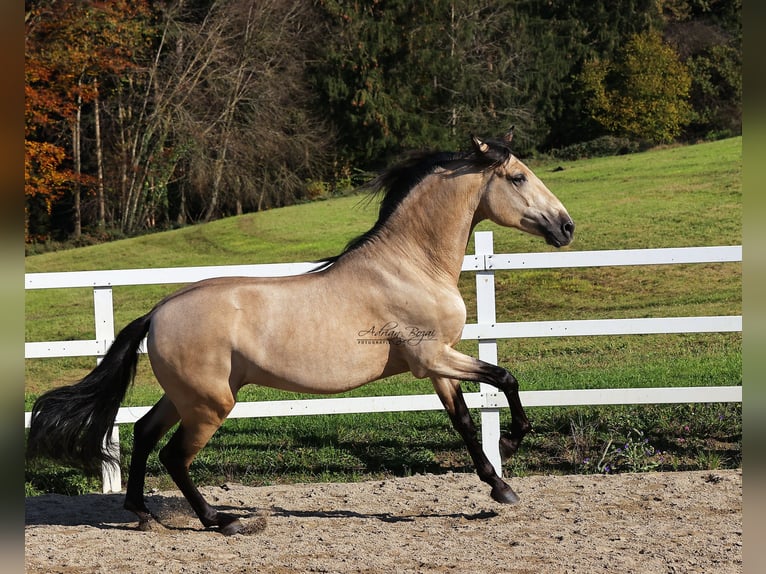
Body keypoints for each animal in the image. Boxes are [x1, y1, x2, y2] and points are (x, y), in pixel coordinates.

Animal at [25, 129, 576, 536]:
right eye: (518, 176)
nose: (566, 227)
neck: (410, 265)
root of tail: (157, 312)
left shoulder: (438, 362)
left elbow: (463, 420)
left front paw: (499, 486)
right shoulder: (434, 357)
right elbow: (505, 377)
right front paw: (511, 446)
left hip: (188, 395)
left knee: (142, 432)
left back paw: (142, 512)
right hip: (210, 404)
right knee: (174, 455)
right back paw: (222, 521)